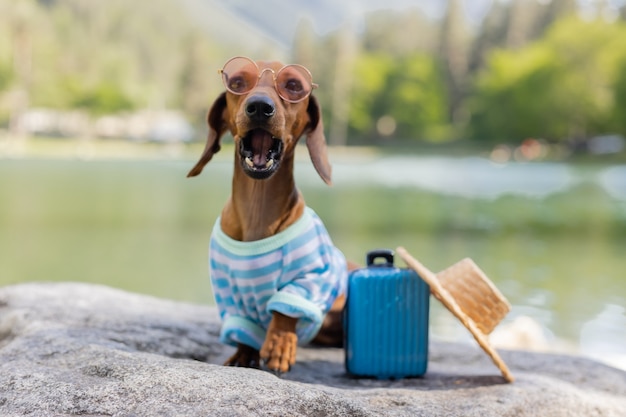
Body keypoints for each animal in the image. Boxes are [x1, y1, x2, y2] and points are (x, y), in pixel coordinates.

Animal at [188, 57, 348, 372]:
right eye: (237, 82)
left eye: (294, 85)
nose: (260, 107)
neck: (257, 211)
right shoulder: (229, 293)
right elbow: (243, 330)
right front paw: (243, 354)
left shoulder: (312, 275)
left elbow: (285, 311)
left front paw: (280, 344)